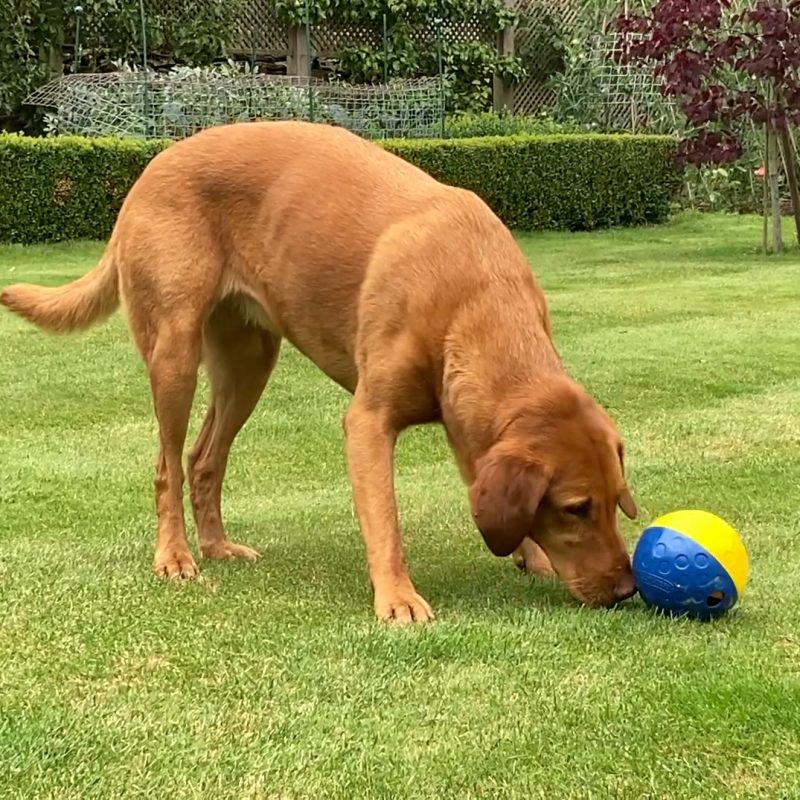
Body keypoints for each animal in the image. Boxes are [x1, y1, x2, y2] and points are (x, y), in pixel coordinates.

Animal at [0, 120, 636, 620]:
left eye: (618, 499)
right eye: (576, 508)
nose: (628, 589)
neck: (475, 299)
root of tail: (148, 170)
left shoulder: (469, 425)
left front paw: (532, 559)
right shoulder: (369, 422)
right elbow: (386, 520)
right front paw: (398, 598)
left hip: (250, 363)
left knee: (204, 458)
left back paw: (218, 547)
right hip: (174, 355)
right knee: (166, 465)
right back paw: (175, 556)